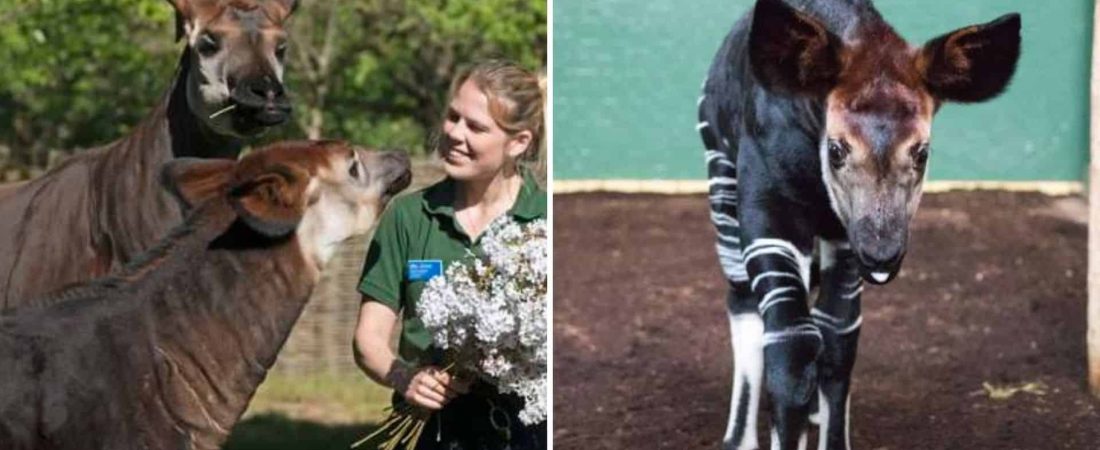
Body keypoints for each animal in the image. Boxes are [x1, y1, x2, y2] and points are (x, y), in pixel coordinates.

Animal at [699, 0, 1016, 448]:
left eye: (921, 153)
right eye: (836, 150)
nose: (882, 256)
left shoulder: (844, 236)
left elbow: (838, 340)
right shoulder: (770, 212)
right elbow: (790, 345)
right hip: (721, 176)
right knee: (742, 298)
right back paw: (739, 439)